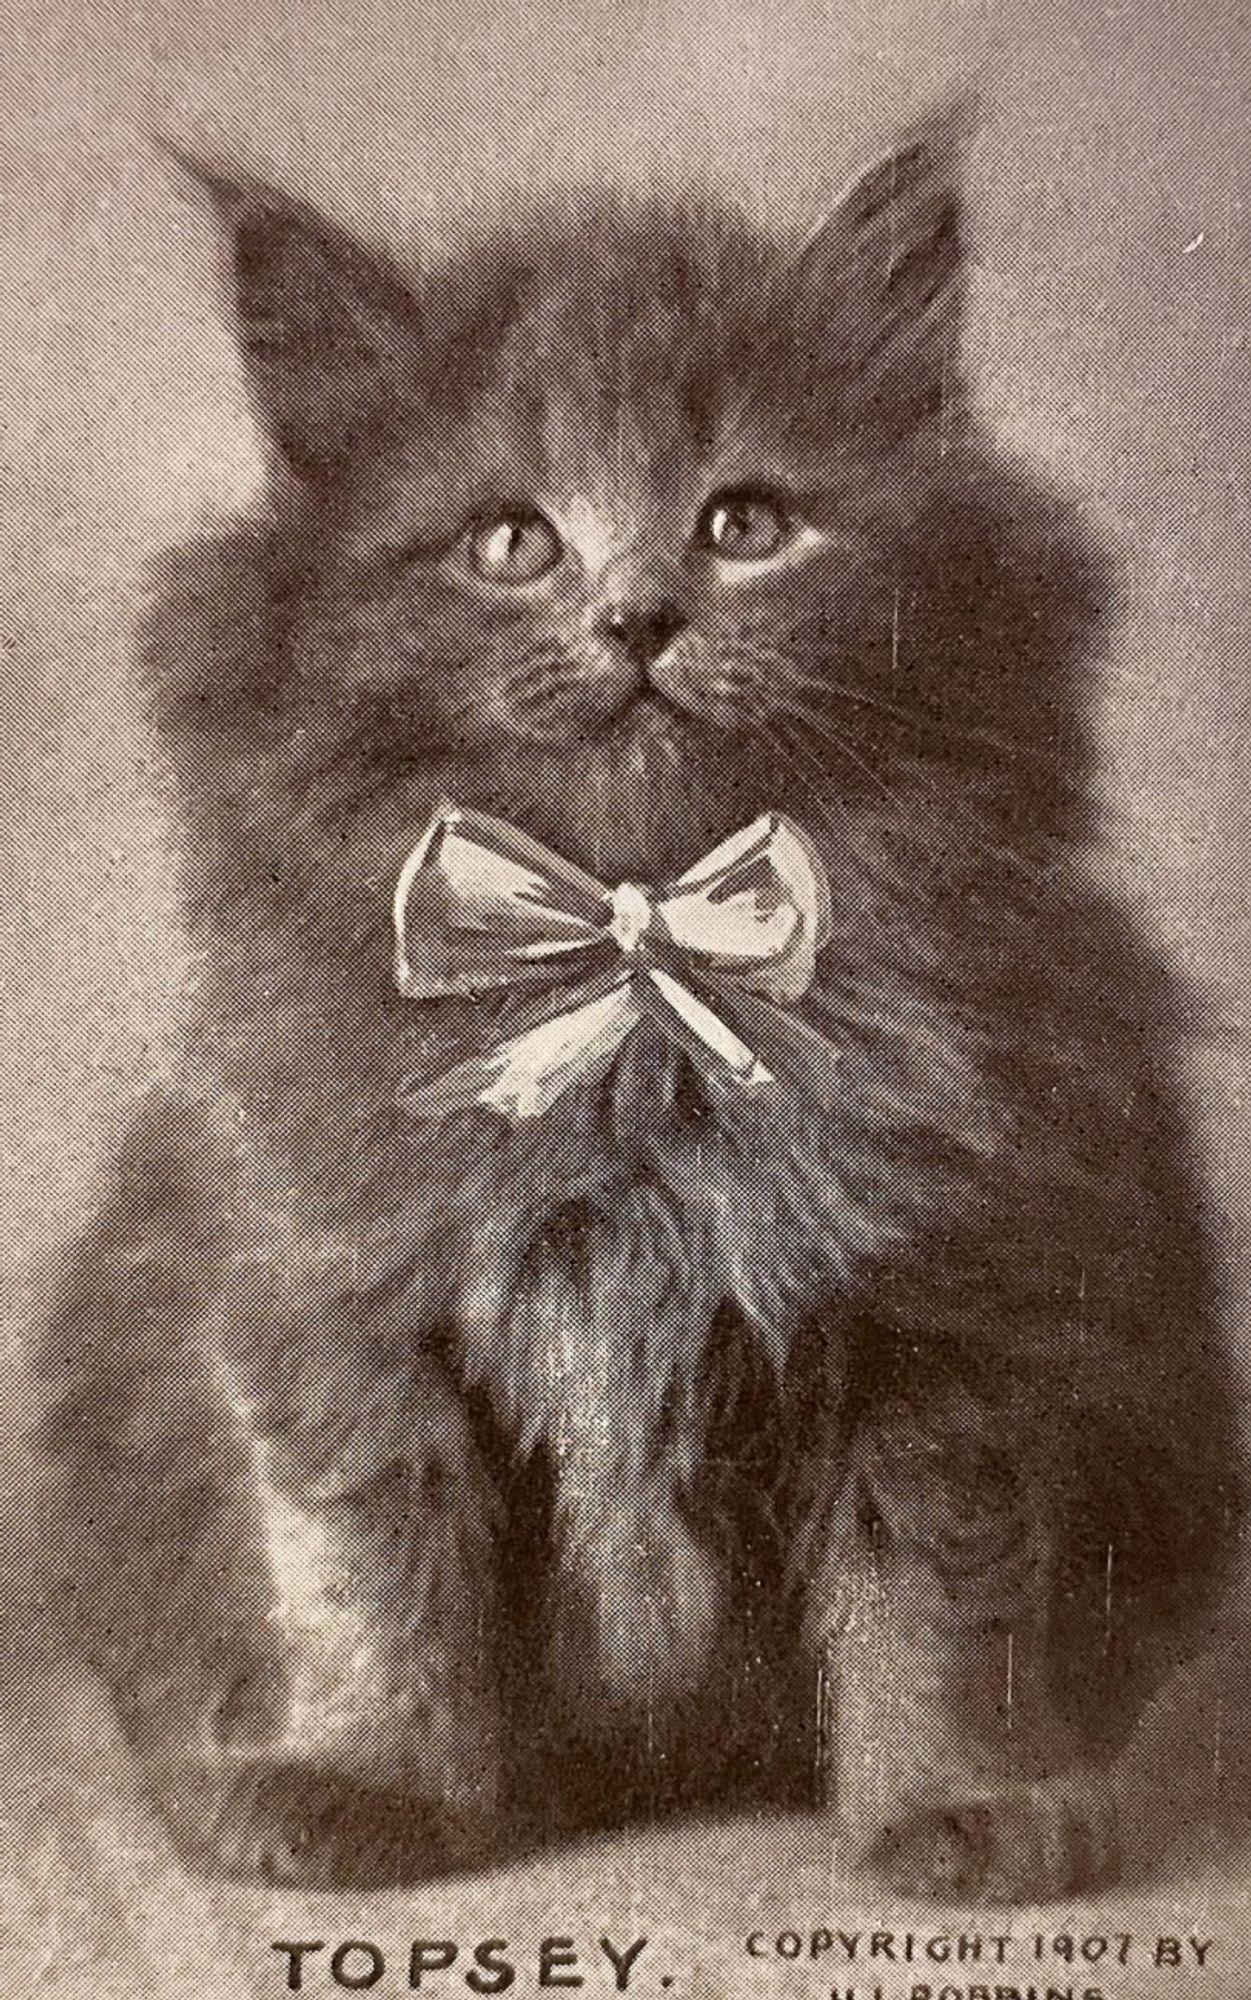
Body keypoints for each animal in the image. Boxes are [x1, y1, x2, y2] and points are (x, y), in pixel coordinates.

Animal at [33, 101, 1231, 1896]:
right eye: (508, 542)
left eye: (743, 524)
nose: (638, 617)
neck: (635, 975)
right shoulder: (334, 1297)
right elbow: (371, 1574)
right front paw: (365, 1786)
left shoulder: (951, 1314)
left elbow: (937, 1603)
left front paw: (963, 1807)